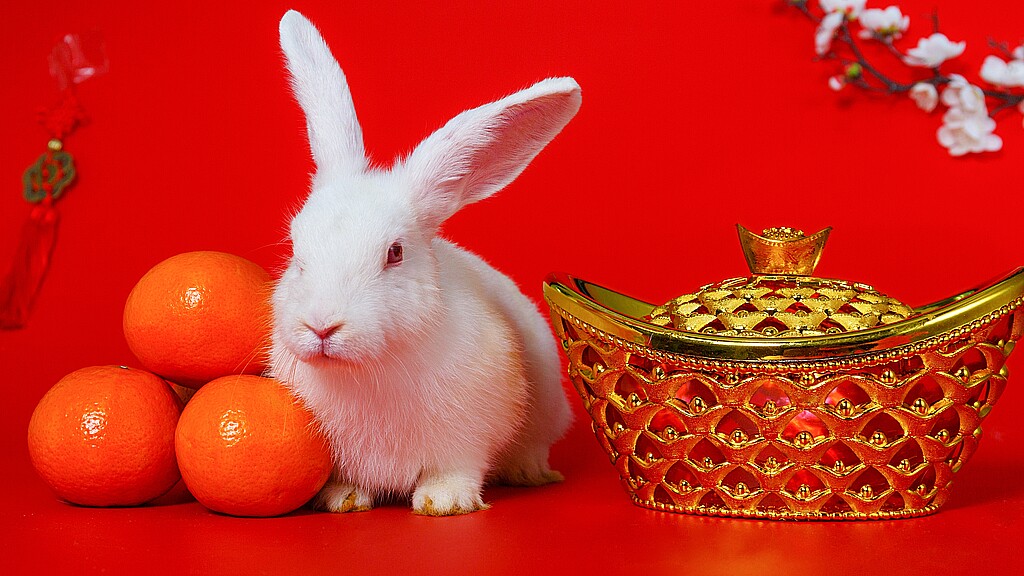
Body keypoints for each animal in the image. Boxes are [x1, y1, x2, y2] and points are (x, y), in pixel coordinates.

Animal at [268, 8, 581, 512]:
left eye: (394, 253)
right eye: (297, 249)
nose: (321, 327)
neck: (368, 371)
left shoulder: (467, 436)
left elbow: (455, 470)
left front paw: (446, 503)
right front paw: (343, 499)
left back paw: (528, 472)